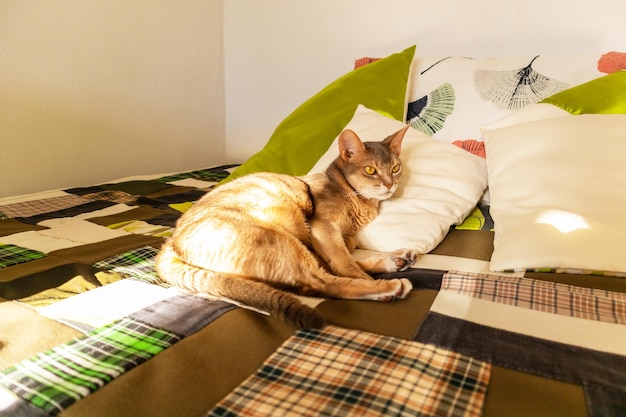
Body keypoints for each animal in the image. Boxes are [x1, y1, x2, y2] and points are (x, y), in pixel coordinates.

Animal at [157, 125, 414, 326]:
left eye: (395, 168)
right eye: (370, 170)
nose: (390, 184)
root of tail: (170, 243)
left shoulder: (337, 238)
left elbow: (342, 255)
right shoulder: (323, 226)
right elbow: (343, 261)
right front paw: (366, 277)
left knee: (318, 274)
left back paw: (395, 259)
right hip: (277, 237)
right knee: (321, 281)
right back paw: (386, 286)